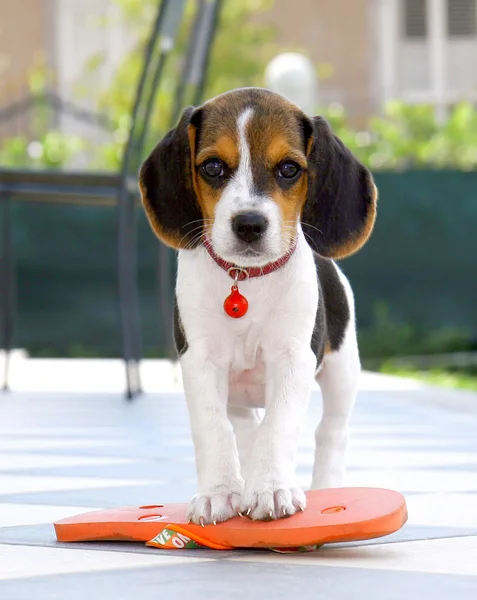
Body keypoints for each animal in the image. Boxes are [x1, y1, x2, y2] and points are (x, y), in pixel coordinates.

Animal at [139, 86, 378, 524]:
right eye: (213, 167)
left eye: (289, 169)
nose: (249, 224)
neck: (245, 280)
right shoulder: (200, 360)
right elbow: (213, 428)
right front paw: (218, 492)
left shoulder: (293, 358)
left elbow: (279, 426)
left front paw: (270, 488)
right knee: (246, 426)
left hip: (342, 369)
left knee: (331, 432)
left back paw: (327, 488)